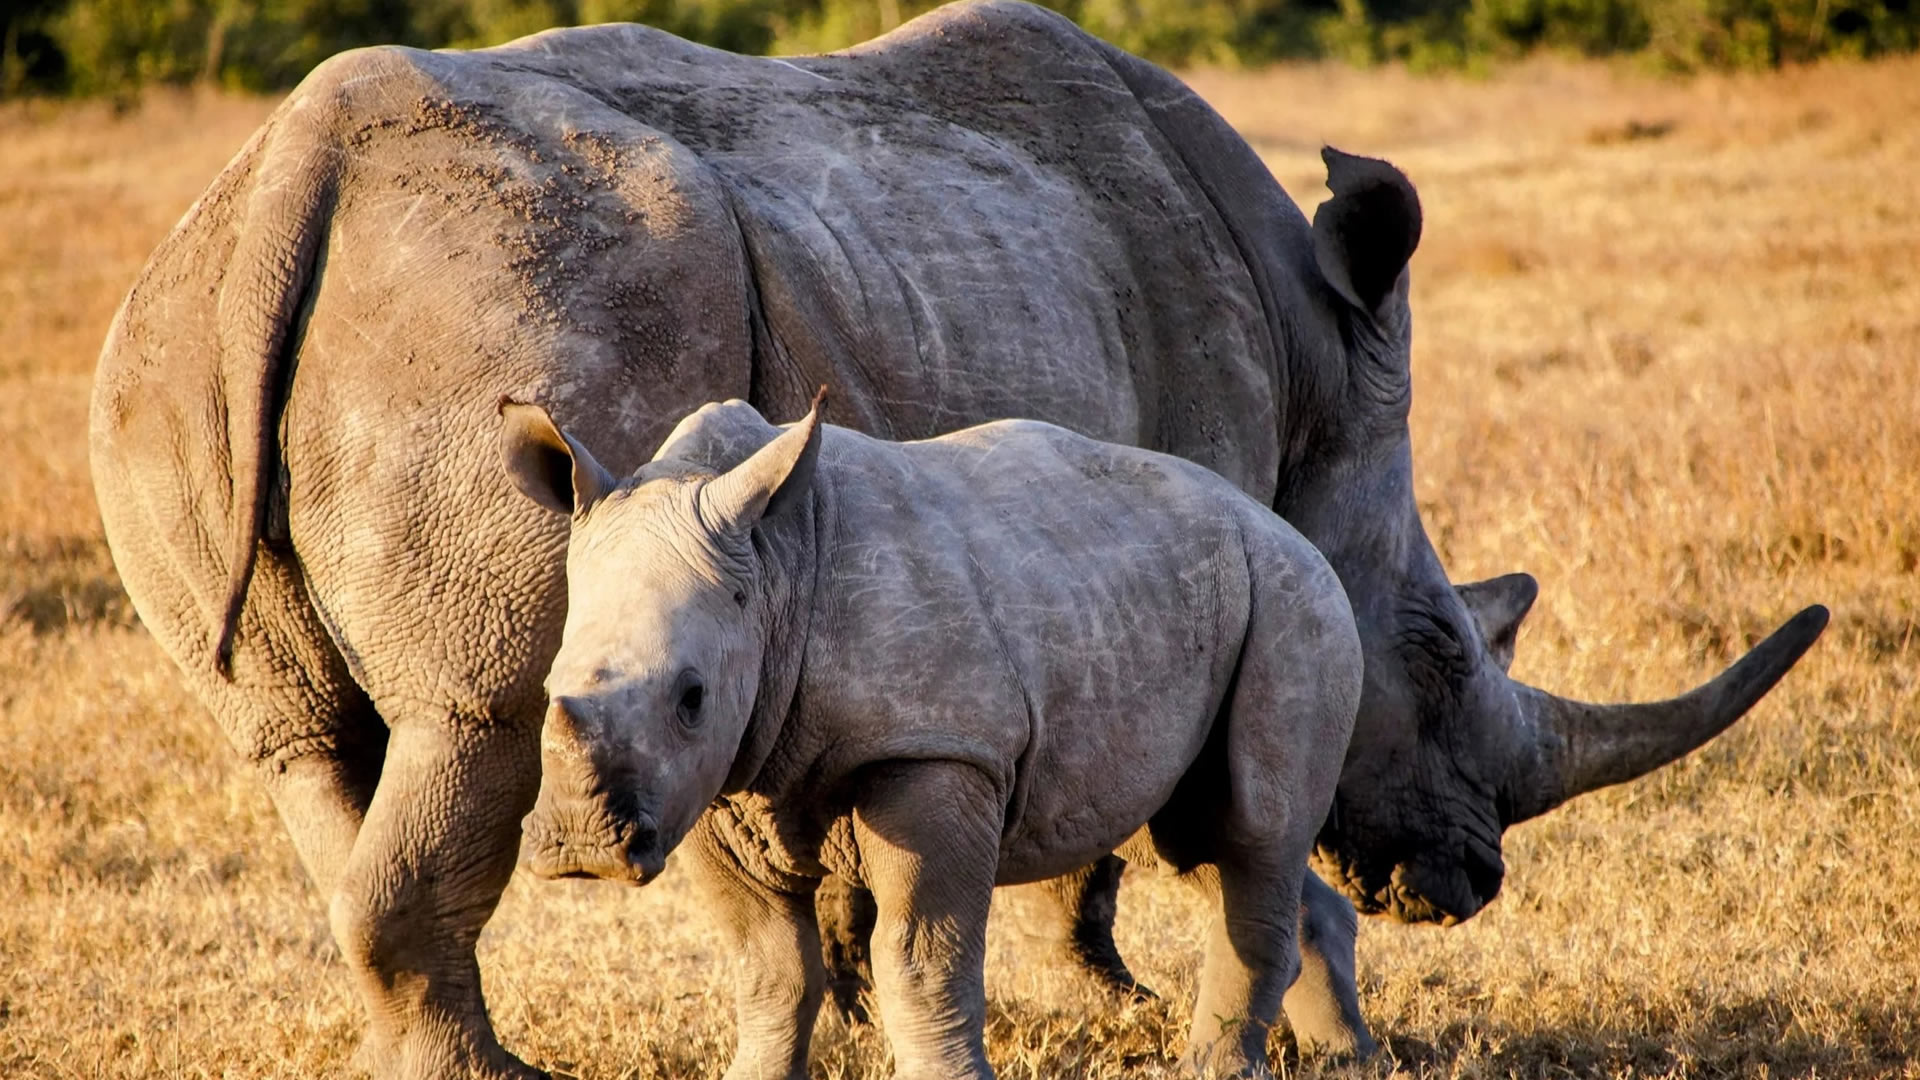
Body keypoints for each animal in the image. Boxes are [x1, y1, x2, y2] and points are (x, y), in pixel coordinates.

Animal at [499, 392, 1365, 1079]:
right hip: (1167, 599)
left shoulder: (937, 747)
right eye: (546, 693)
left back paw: (1223, 1070)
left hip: (1297, 599)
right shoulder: (723, 784)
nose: (580, 847)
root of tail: (1279, 524)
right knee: (1192, 839)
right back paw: (1344, 1056)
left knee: (1253, 829)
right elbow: (769, 967)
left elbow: (918, 956)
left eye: (691, 698)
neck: (775, 572)